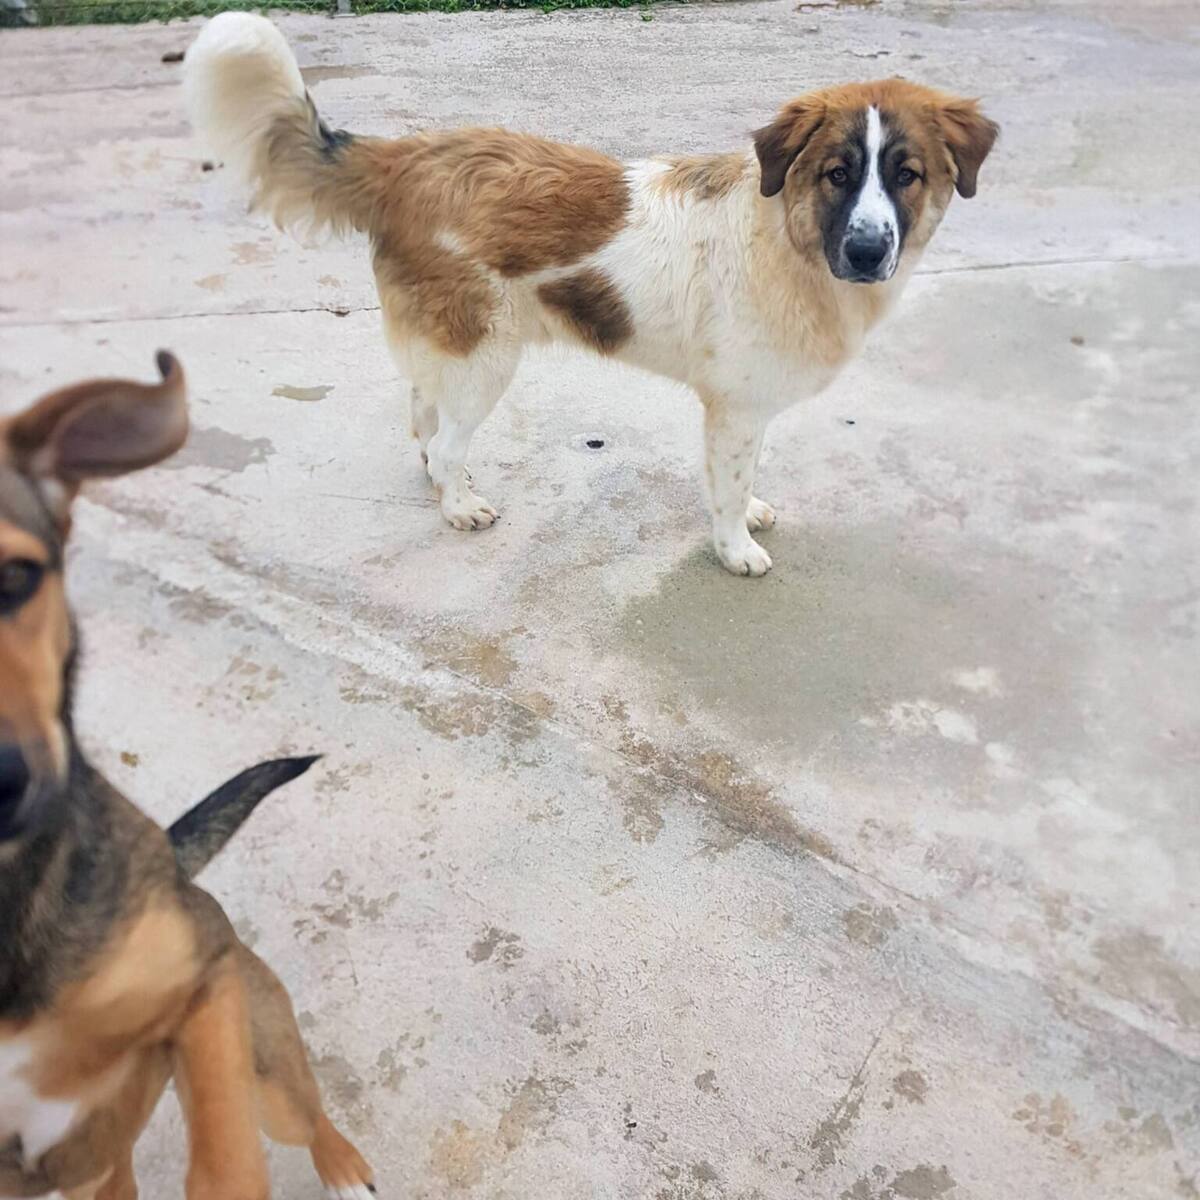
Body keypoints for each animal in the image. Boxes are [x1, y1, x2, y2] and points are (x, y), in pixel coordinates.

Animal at [0, 354, 375, 1200]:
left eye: (14, 578)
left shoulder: (204, 975)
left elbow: (226, 1148)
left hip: (268, 1064)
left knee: (303, 1110)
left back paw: (343, 1167)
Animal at [185, 14, 997, 576]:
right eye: (837, 173)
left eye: (907, 175)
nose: (866, 251)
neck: (784, 234)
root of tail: (407, 158)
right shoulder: (734, 406)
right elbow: (728, 484)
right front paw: (733, 549)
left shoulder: (748, 404)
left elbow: (742, 475)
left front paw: (751, 513)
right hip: (485, 357)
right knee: (443, 441)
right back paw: (460, 506)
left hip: (454, 347)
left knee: (423, 419)